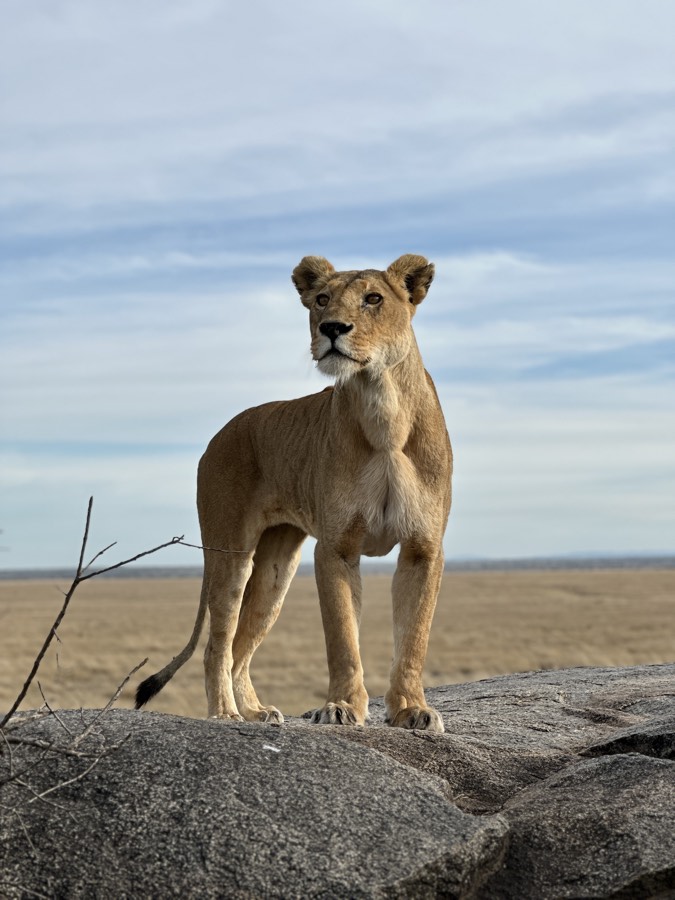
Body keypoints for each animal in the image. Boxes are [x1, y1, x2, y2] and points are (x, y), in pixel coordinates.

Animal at [136, 254, 452, 731]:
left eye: (373, 299)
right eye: (321, 300)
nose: (332, 328)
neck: (383, 406)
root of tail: (220, 433)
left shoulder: (423, 547)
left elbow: (414, 636)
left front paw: (412, 709)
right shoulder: (336, 547)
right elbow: (342, 638)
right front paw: (341, 707)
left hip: (276, 569)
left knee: (240, 648)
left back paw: (255, 711)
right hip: (231, 554)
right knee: (218, 645)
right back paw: (225, 713)